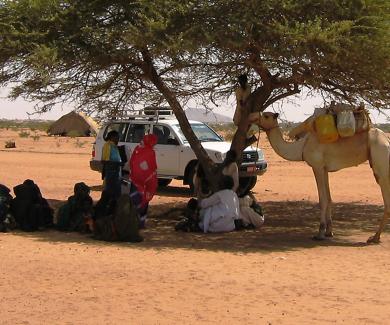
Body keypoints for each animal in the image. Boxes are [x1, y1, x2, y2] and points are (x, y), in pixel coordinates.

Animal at [254, 112, 390, 242]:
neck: (302, 146)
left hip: (381, 162)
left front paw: (320, 234)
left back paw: (375, 237)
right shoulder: (324, 169)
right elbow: (329, 198)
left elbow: (322, 200)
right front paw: (329, 232)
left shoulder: (317, 166)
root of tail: (387, 140)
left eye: (266, 115)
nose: (253, 117)